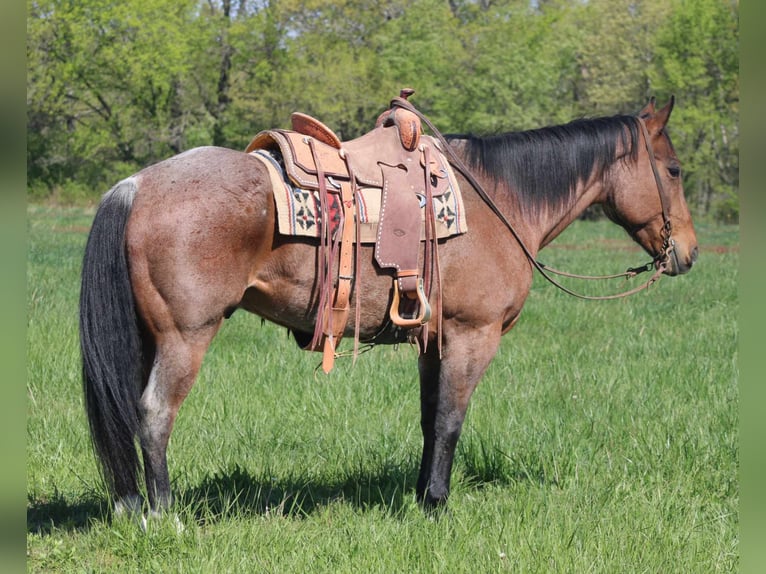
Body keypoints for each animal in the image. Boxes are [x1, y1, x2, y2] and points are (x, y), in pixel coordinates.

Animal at [81, 97, 700, 520]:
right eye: (673, 171)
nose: (688, 253)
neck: (500, 199)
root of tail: (135, 185)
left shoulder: (435, 339)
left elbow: (430, 420)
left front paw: (422, 497)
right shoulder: (473, 336)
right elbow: (451, 421)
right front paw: (438, 506)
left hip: (149, 338)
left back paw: (131, 506)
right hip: (186, 337)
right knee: (155, 414)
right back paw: (164, 516)